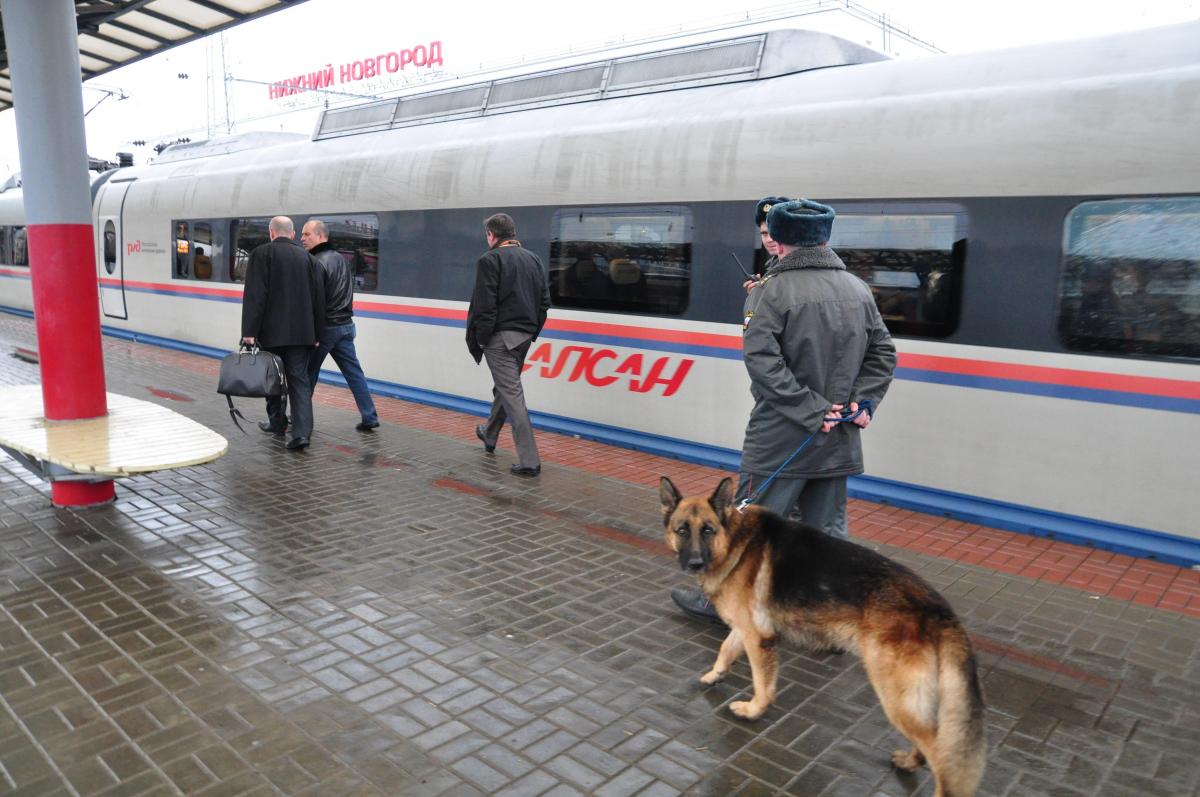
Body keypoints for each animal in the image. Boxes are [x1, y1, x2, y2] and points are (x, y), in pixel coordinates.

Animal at [667, 475, 984, 792]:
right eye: (682, 530)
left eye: (708, 530)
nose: (694, 563)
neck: (734, 540)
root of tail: (940, 610)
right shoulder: (746, 629)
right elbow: (725, 648)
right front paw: (714, 675)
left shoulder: (758, 639)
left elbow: (761, 682)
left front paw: (754, 710)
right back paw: (908, 762)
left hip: (894, 695)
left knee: (941, 756)